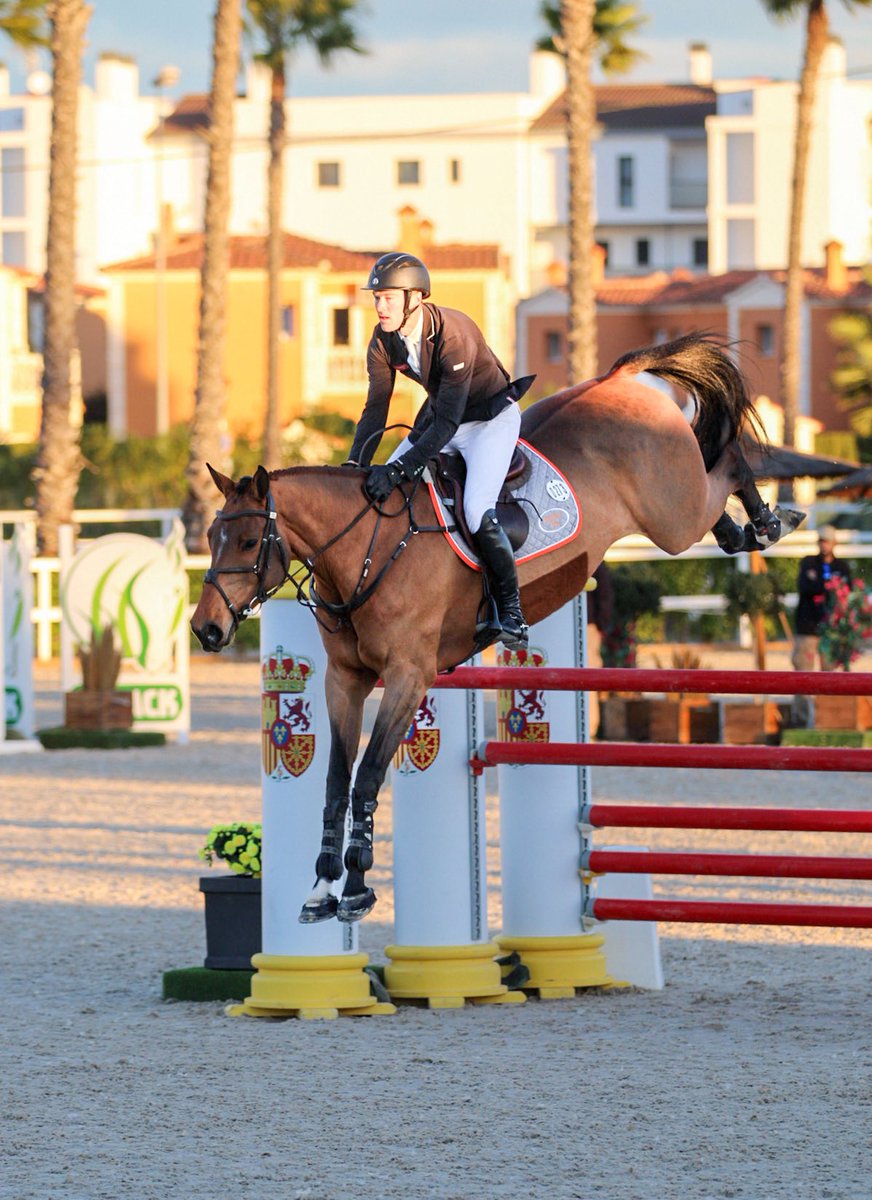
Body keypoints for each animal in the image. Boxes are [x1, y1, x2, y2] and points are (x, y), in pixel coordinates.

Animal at [191, 332, 803, 924]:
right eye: (211, 538)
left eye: (249, 541)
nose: (206, 631)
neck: (367, 548)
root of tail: (620, 378)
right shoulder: (344, 680)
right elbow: (336, 783)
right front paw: (320, 890)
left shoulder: (408, 676)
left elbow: (367, 778)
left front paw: (358, 890)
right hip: (675, 511)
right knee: (716, 488)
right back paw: (743, 532)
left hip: (672, 518)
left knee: (727, 461)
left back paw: (772, 520)